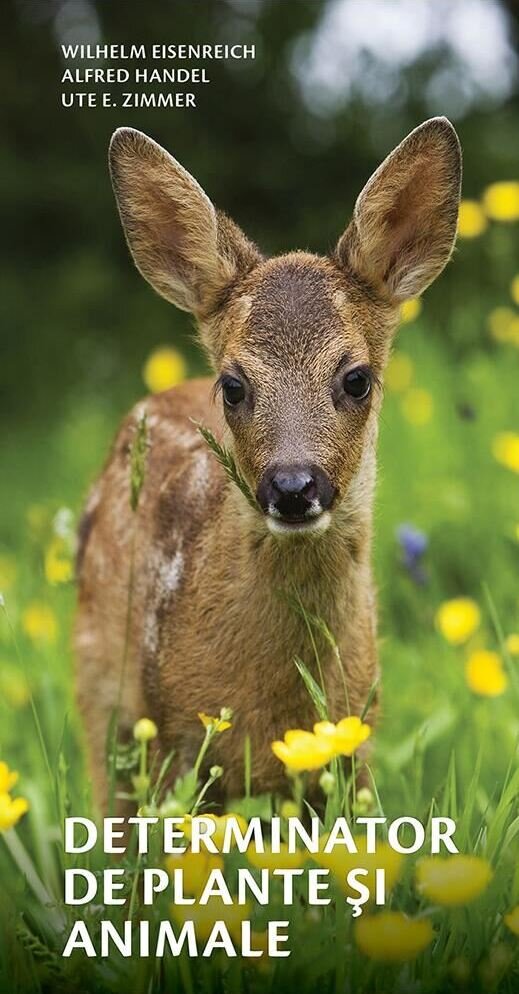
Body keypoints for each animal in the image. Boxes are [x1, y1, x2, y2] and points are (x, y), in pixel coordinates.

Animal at [75, 120, 462, 808]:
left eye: (357, 379)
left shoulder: (352, 742)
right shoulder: (174, 740)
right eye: (232, 386)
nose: (292, 485)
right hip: (104, 698)